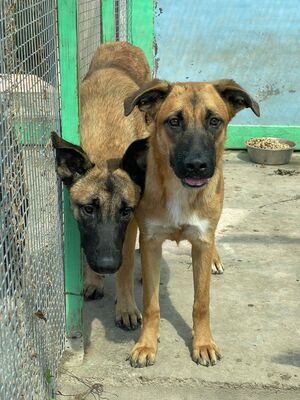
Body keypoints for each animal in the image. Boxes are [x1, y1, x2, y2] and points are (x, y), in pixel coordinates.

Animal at [52, 41, 150, 328]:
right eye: (88, 209)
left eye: (125, 211)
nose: (106, 265)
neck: (107, 146)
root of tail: (121, 43)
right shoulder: (78, 220)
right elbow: (86, 247)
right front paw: (93, 280)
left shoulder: (131, 224)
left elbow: (126, 265)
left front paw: (126, 307)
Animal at [123, 77, 258, 366]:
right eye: (174, 121)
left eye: (215, 121)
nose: (197, 166)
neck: (181, 192)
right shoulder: (151, 241)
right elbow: (151, 304)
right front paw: (146, 343)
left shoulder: (201, 242)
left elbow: (202, 302)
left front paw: (203, 342)